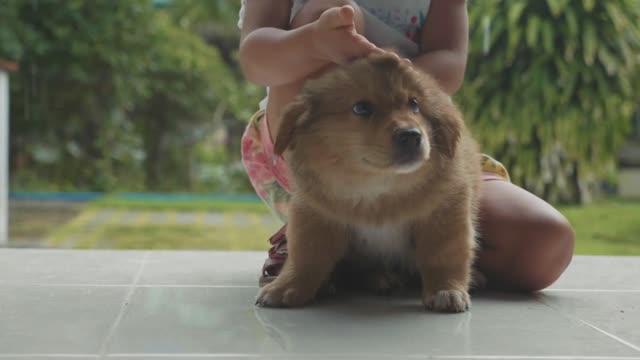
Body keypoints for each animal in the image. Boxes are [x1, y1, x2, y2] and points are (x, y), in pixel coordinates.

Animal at [255, 53, 480, 312]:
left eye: (414, 103)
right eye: (361, 108)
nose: (412, 135)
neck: (377, 190)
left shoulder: (445, 212)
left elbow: (443, 256)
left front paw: (446, 289)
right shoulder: (314, 215)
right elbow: (305, 258)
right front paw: (286, 286)